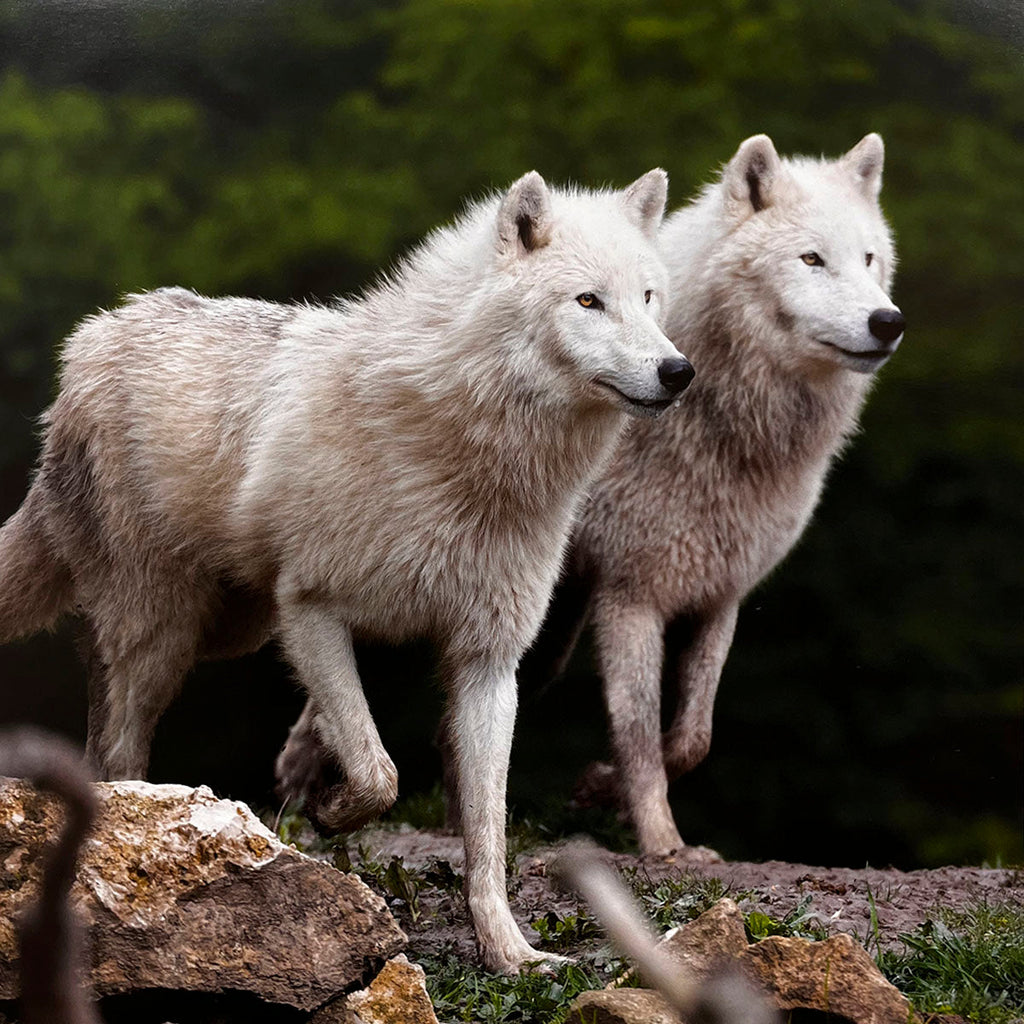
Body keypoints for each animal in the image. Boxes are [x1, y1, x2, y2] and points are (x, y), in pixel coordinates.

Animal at [0, 170, 692, 971]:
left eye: (648, 297)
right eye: (588, 301)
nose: (679, 371)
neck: (470, 460)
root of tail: (96, 334)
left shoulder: (490, 660)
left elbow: (487, 828)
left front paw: (510, 953)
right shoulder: (310, 611)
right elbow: (378, 770)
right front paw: (330, 814)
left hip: (225, 629)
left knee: (98, 711)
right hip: (167, 635)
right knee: (119, 746)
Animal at [556, 133, 905, 858]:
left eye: (868, 259)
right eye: (811, 259)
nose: (887, 321)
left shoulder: (720, 595)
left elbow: (693, 737)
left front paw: (599, 788)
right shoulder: (629, 598)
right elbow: (640, 735)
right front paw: (663, 844)